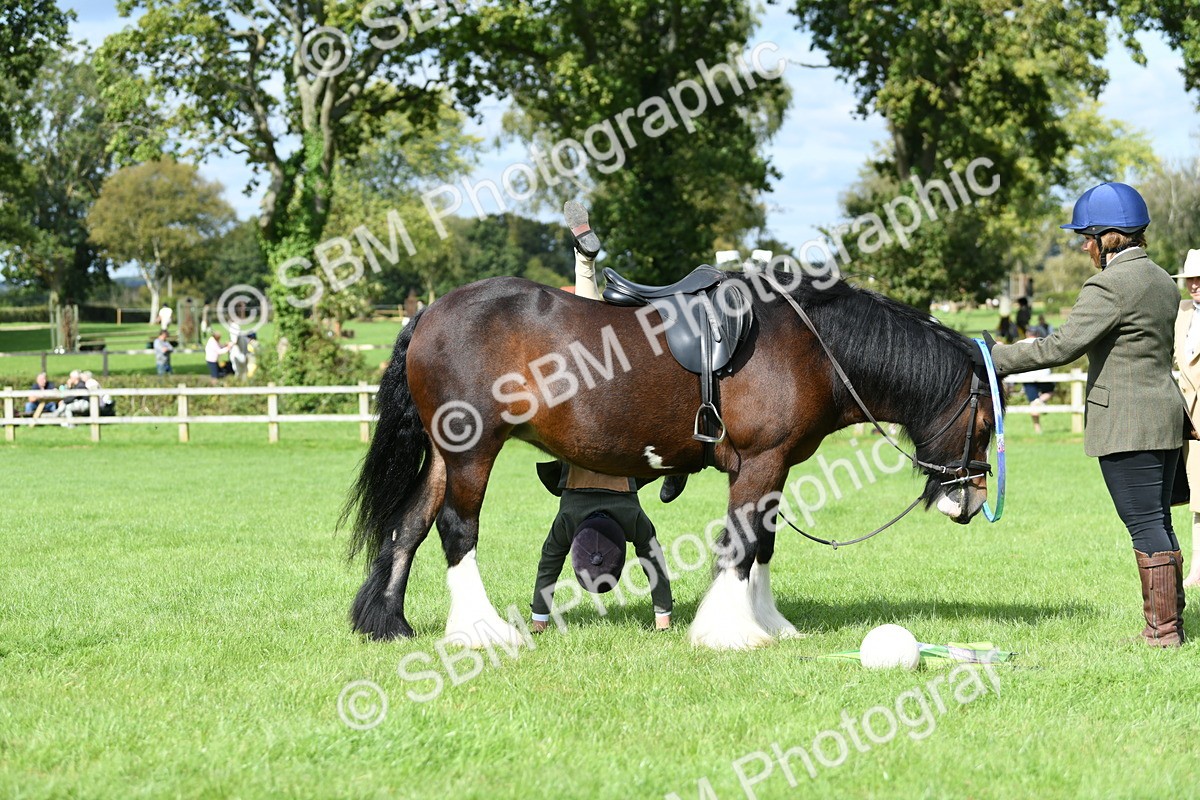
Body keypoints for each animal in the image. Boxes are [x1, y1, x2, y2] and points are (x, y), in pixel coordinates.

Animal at [341, 268, 998, 650]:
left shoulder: (774, 468)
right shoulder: (761, 463)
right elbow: (741, 545)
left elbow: (763, 545)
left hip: (443, 455)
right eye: (985, 424)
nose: (970, 501)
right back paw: (480, 632)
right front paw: (729, 631)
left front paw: (769, 624)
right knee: (457, 528)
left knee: (410, 525)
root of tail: (428, 312)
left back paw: (390, 624)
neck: (811, 346)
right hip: (472, 451)